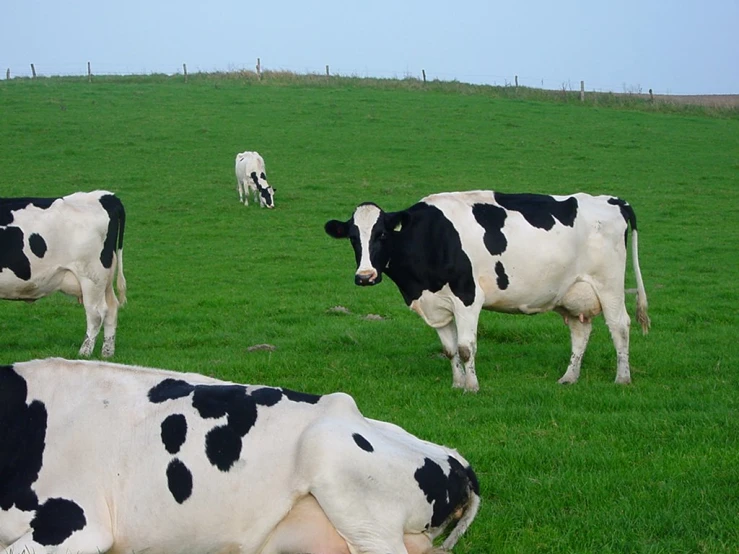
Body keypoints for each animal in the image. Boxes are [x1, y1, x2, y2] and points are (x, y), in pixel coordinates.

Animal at [0, 191, 125, 358]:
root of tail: (104, 196)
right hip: (105, 279)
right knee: (112, 309)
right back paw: (107, 353)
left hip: (91, 275)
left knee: (96, 313)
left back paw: (84, 352)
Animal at [326, 192, 652, 390]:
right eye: (353, 237)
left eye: (381, 234)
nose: (365, 276)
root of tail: (613, 200)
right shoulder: (438, 304)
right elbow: (449, 349)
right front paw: (457, 384)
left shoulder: (467, 297)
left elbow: (465, 347)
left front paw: (472, 387)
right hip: (572, 293)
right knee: (581, 333)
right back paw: (569, 377)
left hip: (609, 285)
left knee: (619, 326)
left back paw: (622, 378)